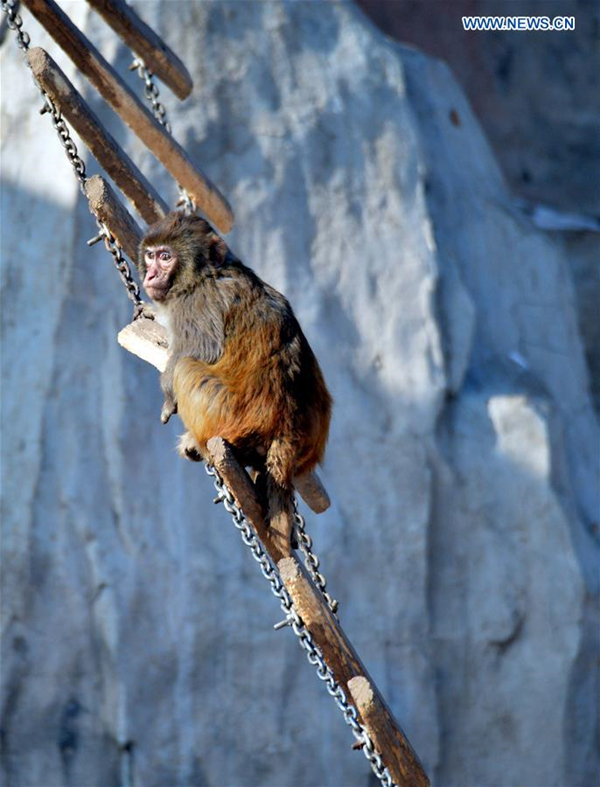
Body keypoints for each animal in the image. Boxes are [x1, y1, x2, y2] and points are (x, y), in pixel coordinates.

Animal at [137, 211, 332, 552]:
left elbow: (197, 351)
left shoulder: (195, 302)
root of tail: (288, 430)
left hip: (225, 414)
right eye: (150, 255)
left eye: (165, 257)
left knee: (187, 367)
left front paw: (168, 398)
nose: (150, 275)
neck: (209, 273)